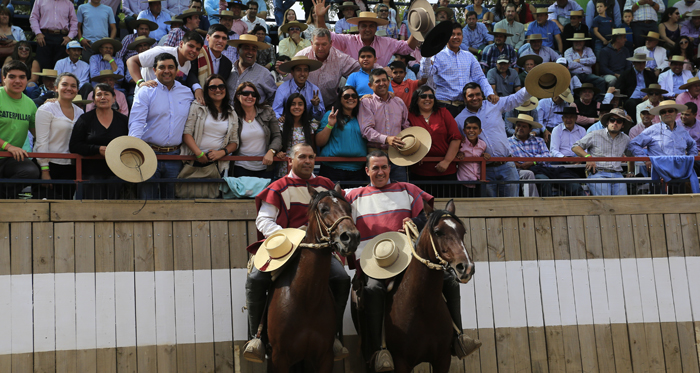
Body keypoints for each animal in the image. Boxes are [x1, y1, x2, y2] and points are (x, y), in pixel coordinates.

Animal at [266, 184, 358, 372]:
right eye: (323, 209)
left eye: (348, 208)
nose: (351, 237)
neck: (307, 299)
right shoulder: (279, 358)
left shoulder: (324, 357)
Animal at [352, 201, 474, 372]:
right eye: (438, 232)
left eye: (463, 231)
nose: (466, 268)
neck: (423, 307)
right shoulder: (401, 362)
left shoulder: (443, 359)